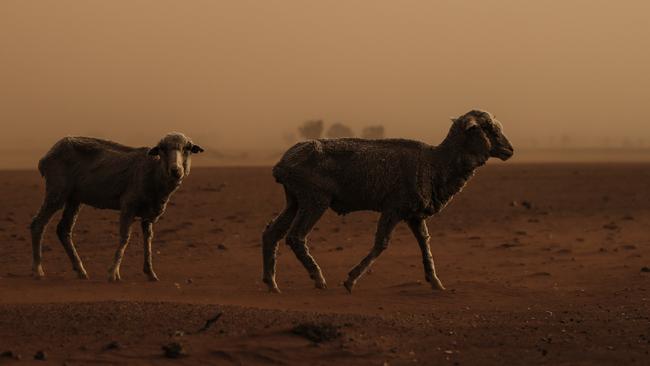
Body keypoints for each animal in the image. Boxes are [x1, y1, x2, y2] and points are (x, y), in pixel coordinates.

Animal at [29, 133, 202, 282]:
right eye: (162, 149)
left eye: (187, 148)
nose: (175, 170)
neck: (154, 173)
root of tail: (45, 157)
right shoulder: (128, 205)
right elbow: (125, 237)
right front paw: (113, 272)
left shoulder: (149, 214)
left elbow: (148, 240)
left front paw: (150, 273)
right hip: (57, 190)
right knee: (38, 224)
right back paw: (37, 270)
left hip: (74, 198)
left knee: (63, 229)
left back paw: (80, 270)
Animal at [262, 110, 512, 294]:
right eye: (489, 129)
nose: (509, 150)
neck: (436, 163)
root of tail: (281, 165)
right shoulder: (393, 208)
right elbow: (381, 243)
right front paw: (350, 280)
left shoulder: (414, 215)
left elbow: (425, 243)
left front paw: (435, 282)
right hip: (315, 199)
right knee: (295, 237)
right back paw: (317, 278)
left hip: (294, 199)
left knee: (272, 232)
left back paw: (271, 283)